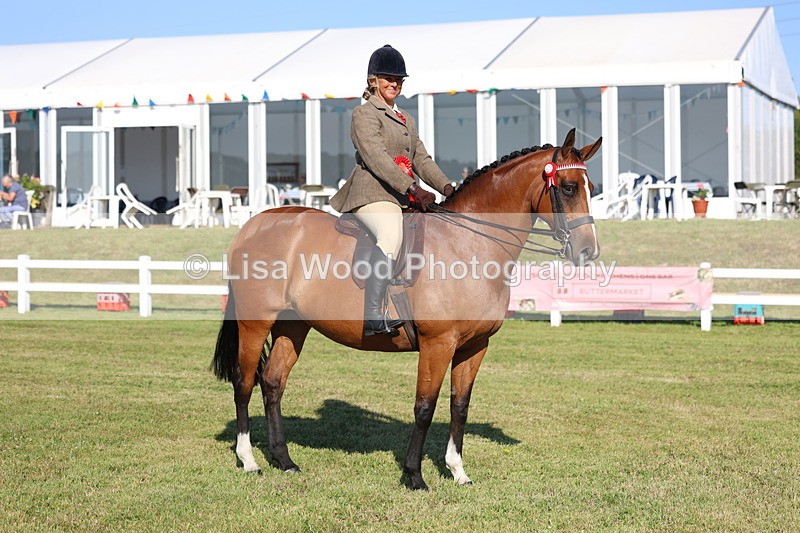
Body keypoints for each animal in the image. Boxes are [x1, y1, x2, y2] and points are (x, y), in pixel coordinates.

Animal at [212, 128, 602, 491]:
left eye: (591, 187)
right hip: (255, 323)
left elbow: (459, 406)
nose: (588, 252)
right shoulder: (437, 344)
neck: (468, 244)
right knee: (245, 382)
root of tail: (253, 225)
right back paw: (249, 460)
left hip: (292, 326)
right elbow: (424, 407)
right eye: (568, 187)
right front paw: (414, 476)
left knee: (273, 382)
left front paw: (457, 471)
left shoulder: (475, 347)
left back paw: (284, 460)